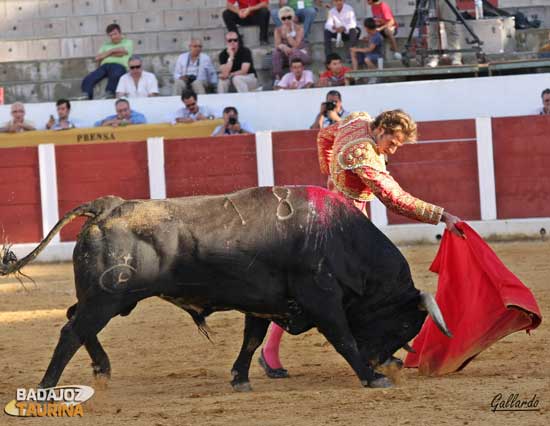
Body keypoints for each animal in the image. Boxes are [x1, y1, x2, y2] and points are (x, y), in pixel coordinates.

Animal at [1, 186, 452, 390]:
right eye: (404, 326)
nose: (387, 363)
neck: (339, 238)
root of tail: (107, 206)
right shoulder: (322, 300)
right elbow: (343, 338)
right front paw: (371, 378)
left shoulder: (266, 303)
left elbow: (251, 340)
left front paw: (240, 379)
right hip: (109, 298)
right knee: (71, 331)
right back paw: (46, 387)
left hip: (106, 298)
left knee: (75, 322)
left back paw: (102, 368)